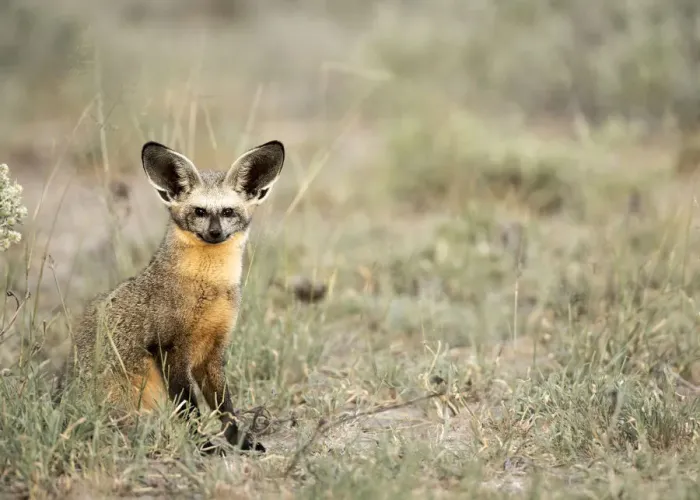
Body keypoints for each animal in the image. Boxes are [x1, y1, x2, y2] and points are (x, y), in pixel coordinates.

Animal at [57, 139, 285, 454]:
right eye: (199, 211)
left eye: (228, 212)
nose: (215, 233)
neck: (208, 289)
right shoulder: (168, 349)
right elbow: (189, 408)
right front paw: (203, 446)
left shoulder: (212, 352)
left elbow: (224, 406)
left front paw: (240, 441)